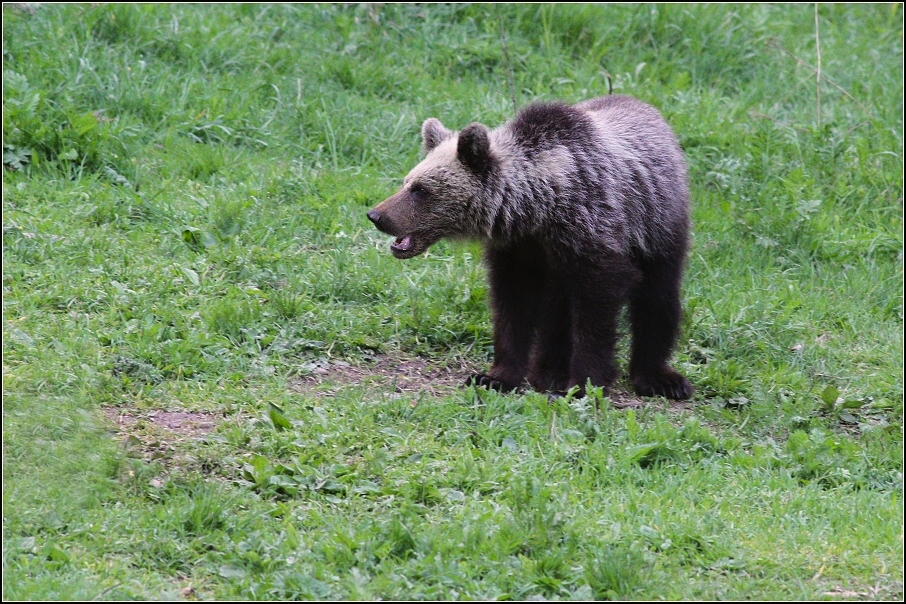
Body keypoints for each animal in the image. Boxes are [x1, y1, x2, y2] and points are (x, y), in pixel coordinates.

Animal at [368, 96, 692, 398]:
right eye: (407, 182)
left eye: (421, 189)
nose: (377, 215)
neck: (539, 209)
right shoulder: (518, 251)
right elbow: (513, 308)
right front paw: (495, 376)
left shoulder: (593, 232)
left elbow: (597, 310)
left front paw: (584, 384)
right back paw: (548, 372)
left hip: (657, 225)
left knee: (658, 296)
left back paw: (659, 378)